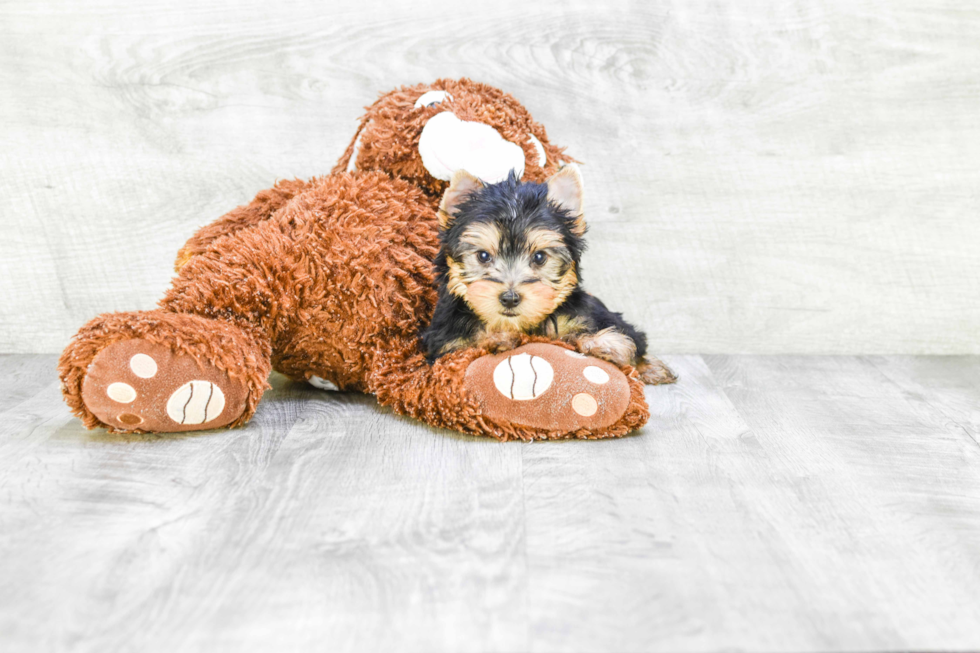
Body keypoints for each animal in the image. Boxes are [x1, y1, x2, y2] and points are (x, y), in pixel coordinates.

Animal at [424, 166, 676, 388]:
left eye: (539, 257)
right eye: (483, 256)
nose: (510, 298)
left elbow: (623, 337)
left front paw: (605, 344)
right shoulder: (443, 342)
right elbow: (466, 345)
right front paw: (496, 338)